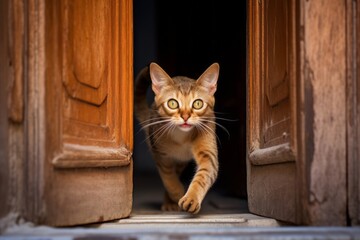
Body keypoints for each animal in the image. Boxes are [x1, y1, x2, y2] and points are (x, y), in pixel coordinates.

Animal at [134, 62, 219, 214]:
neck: (182, 137)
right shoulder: (160, 155)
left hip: (181, 161)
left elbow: (203, 175)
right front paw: (177, 192)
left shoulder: (208, 154)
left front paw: (191, 198)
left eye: (198, 103)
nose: (185, 116)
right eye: (172, 103)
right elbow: (168, 177)